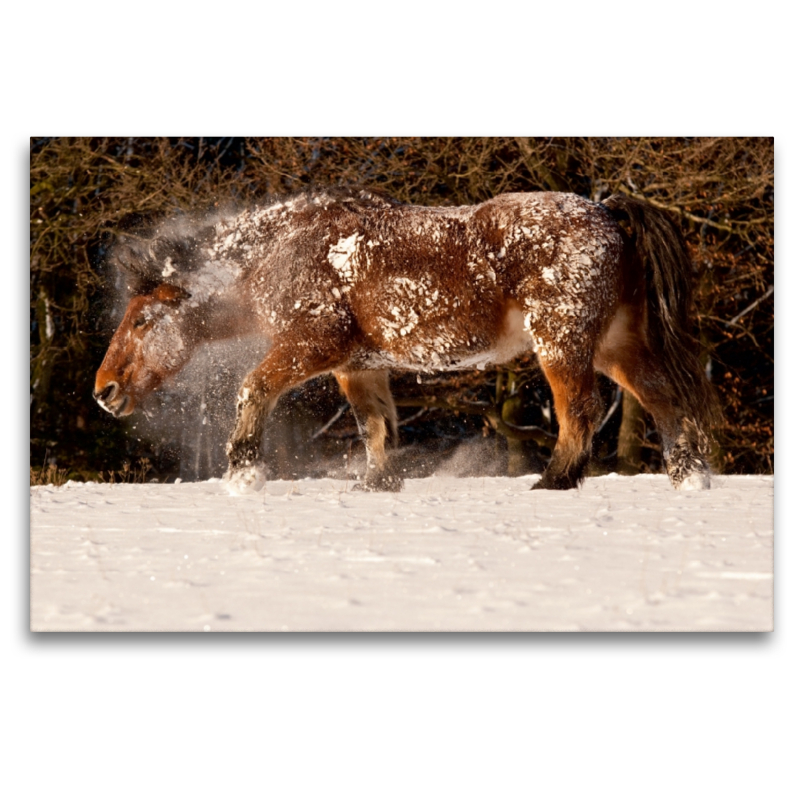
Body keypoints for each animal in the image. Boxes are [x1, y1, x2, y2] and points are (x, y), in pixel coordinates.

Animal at [94, 188, 720, 494]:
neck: (285, 251)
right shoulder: (357, 365)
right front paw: (377, 483)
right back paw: (690, 478)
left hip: (563, 343)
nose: (104, 391)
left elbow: (253, 388)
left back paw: (555, 480)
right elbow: (375, 426)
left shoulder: (312, 347)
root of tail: (610, 214)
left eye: (142, 321)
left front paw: (244, 471)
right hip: (617, 346)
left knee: (580, 412)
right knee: (666, 400)